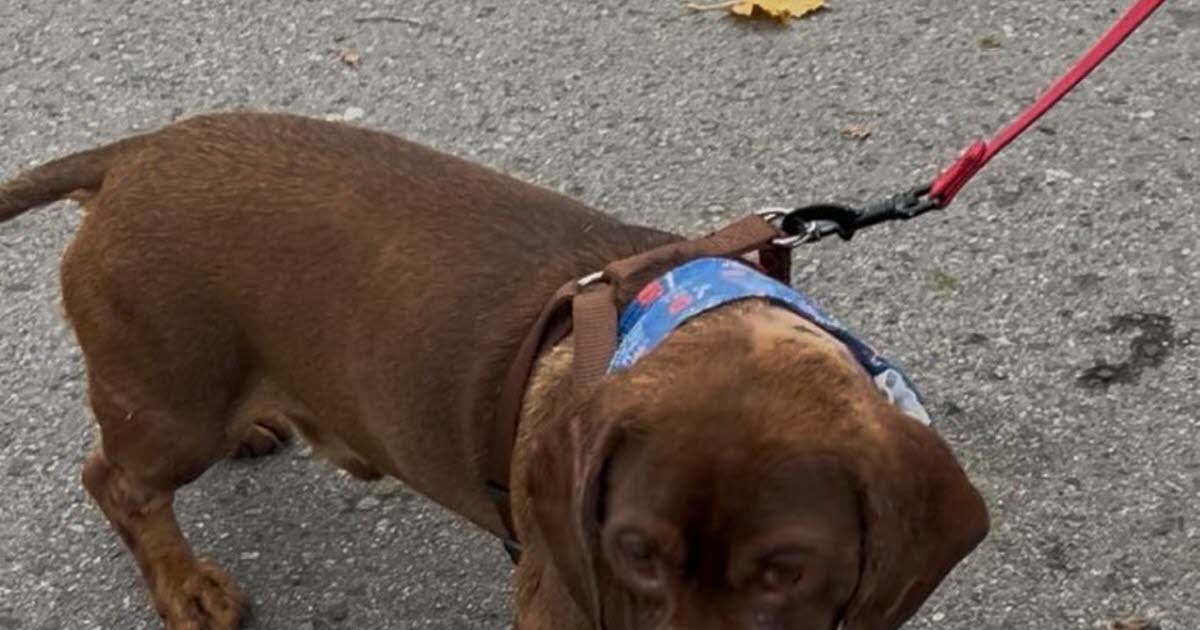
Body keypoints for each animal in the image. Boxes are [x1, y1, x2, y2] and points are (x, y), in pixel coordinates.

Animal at [0, 112, 987, 630]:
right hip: (171, 412)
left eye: (789, 570)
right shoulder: (562, 597)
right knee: (116, 482)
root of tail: (131, 155)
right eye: (634, 551)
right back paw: (185, 585)